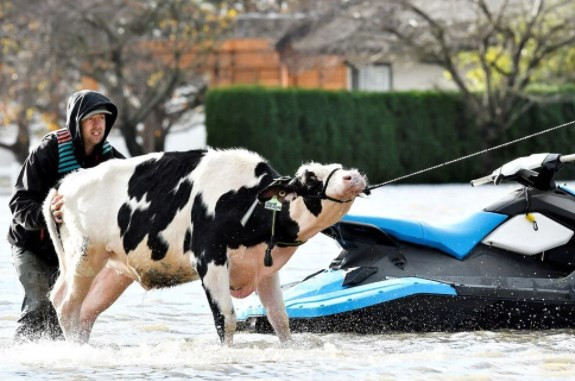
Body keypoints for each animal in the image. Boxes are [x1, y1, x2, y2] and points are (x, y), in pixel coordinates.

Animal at [45, 148, 368, 344]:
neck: (248, 204)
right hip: (84, 257)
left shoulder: (264, 269)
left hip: (112, 270)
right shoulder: (209, 259)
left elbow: (280, 319)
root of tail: (65, 183)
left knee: (86, 310)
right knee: (66, 304)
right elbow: (225, 318)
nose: (354, 175)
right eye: (309, 179)